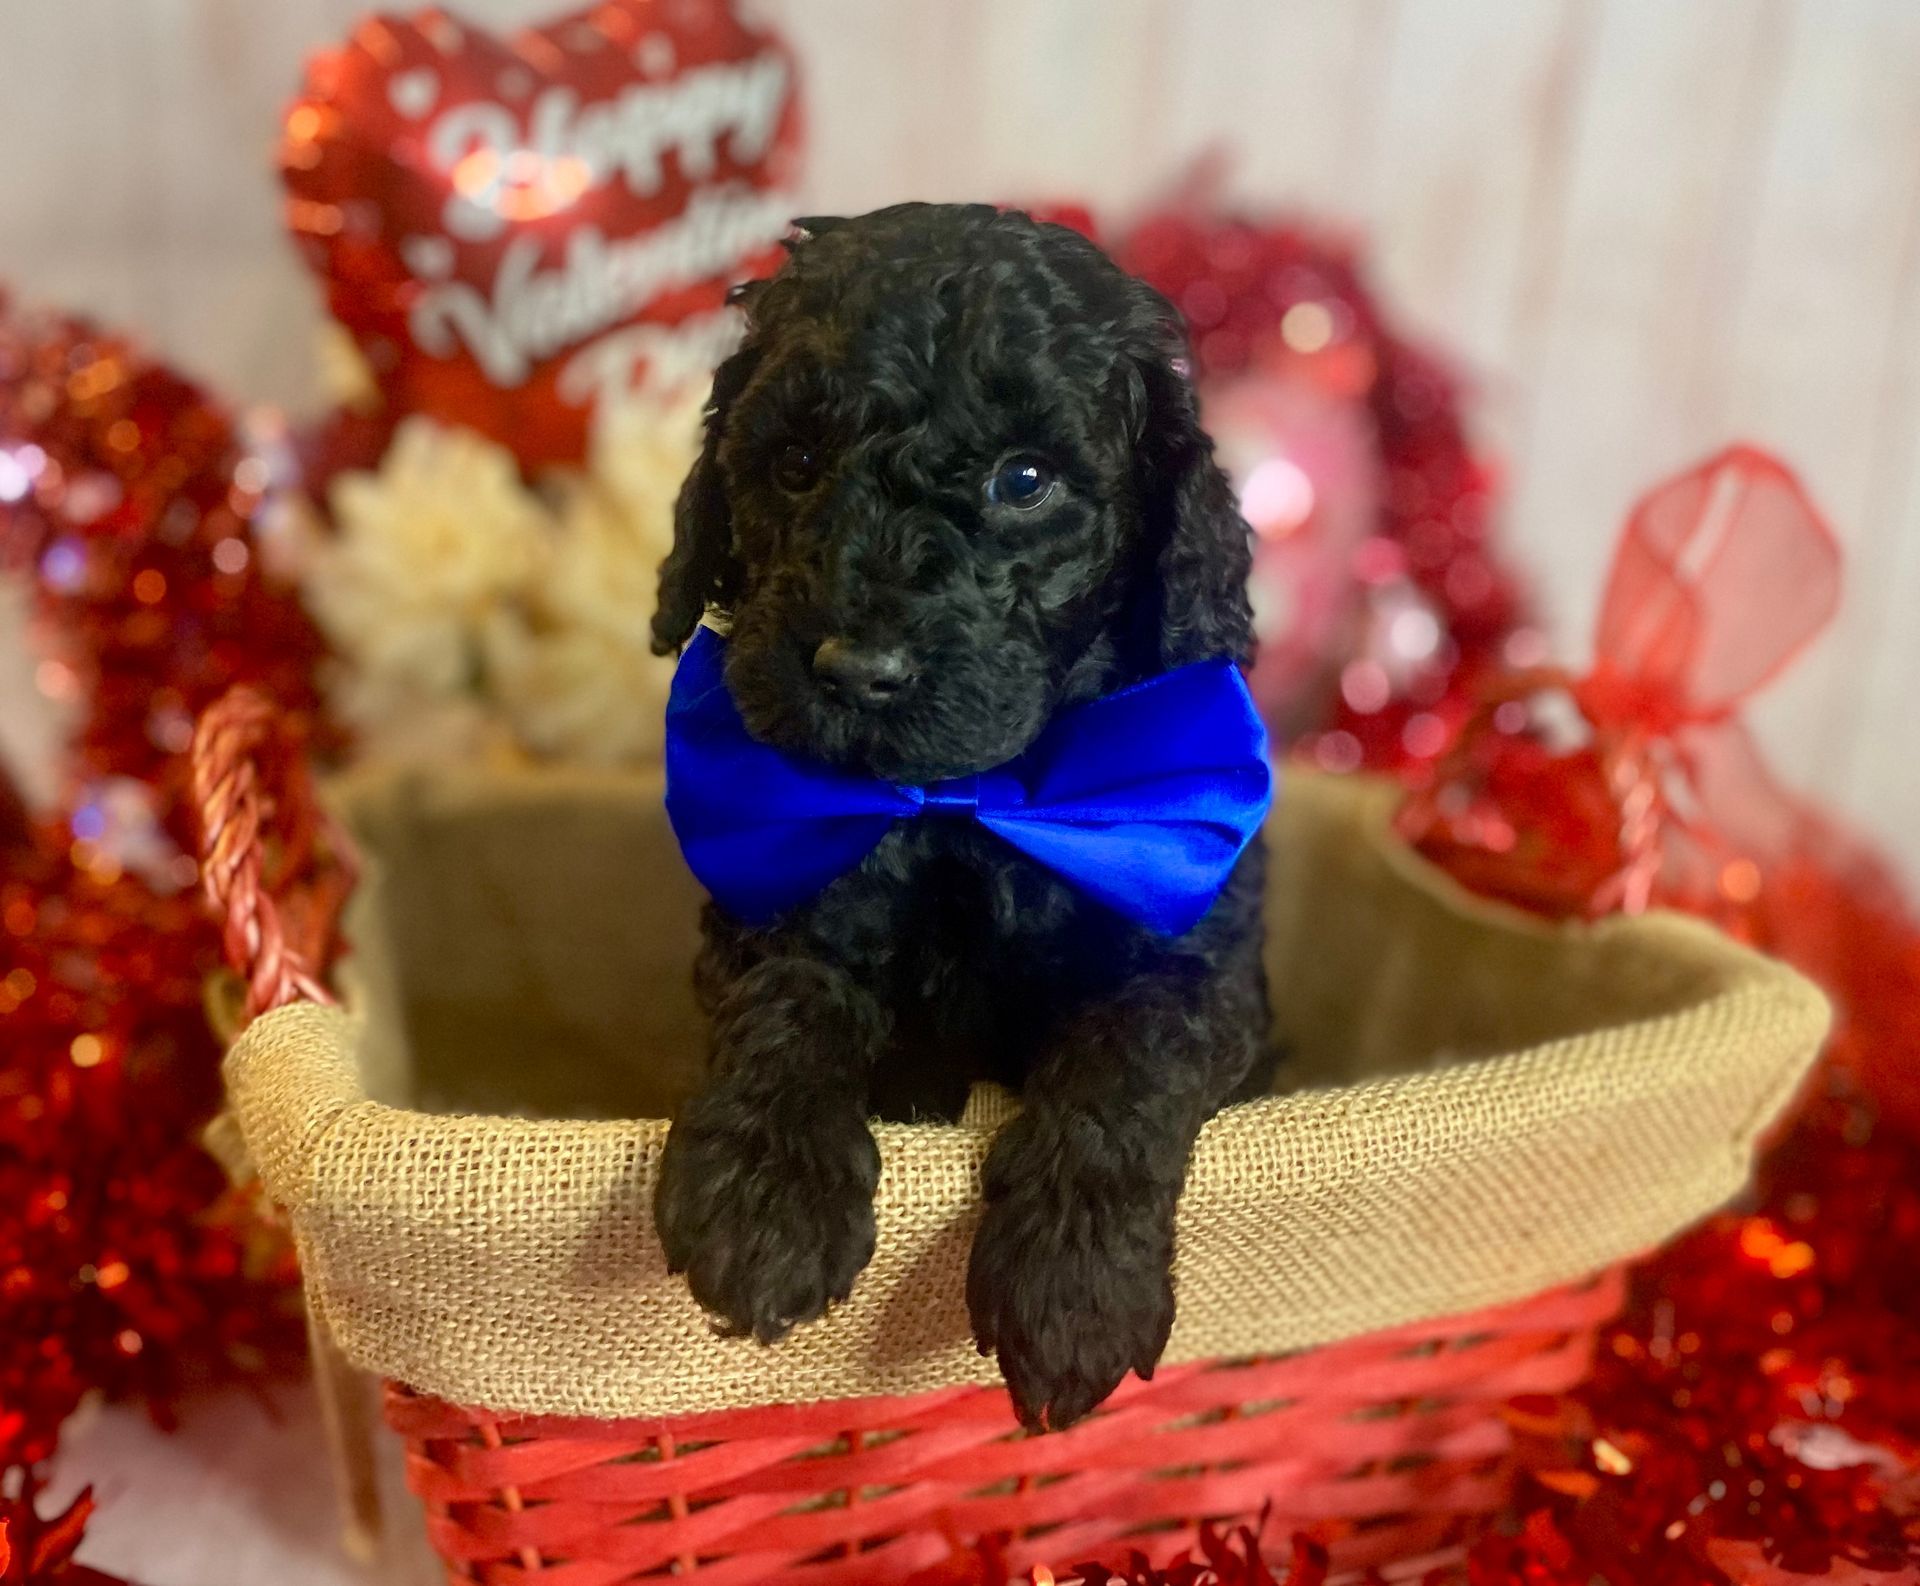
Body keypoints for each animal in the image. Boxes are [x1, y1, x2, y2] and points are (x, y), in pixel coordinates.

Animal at [652, 203, 1267, 1428]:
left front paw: (1075, 1287)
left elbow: (1131, 1056)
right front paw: (763, 1196)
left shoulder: (1206, 961)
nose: (857, 670)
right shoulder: (771, 895)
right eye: (794, 464)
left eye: (1023, 479)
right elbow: (788, 999)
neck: (963, 807)